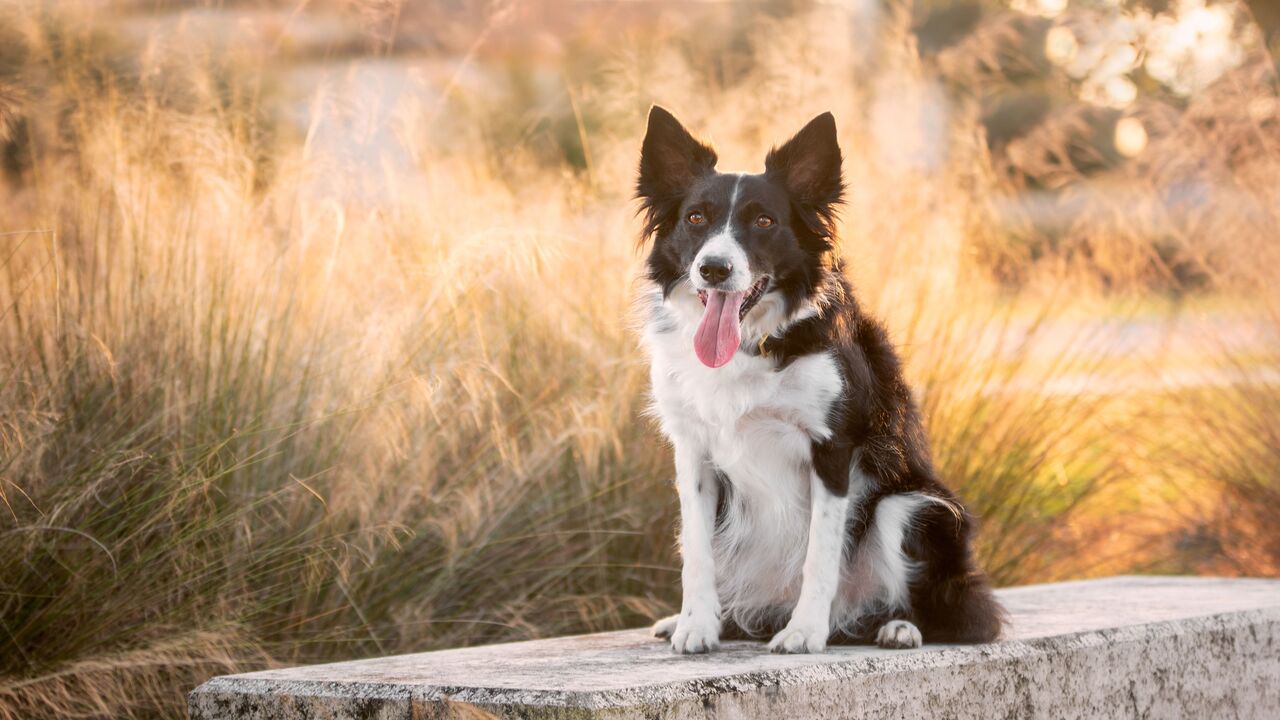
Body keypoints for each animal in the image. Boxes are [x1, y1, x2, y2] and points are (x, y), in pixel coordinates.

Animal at [640, 107, 998, 655]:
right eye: (695, 218)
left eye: (764, 221)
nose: (714, 268)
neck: (753, 343)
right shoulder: (693, 452)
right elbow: (697, 552)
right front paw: (696, 625)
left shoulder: (832, 450)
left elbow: (819, 555)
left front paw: (806, 632)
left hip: (915, 507)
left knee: (945, 606)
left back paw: (897, 627)